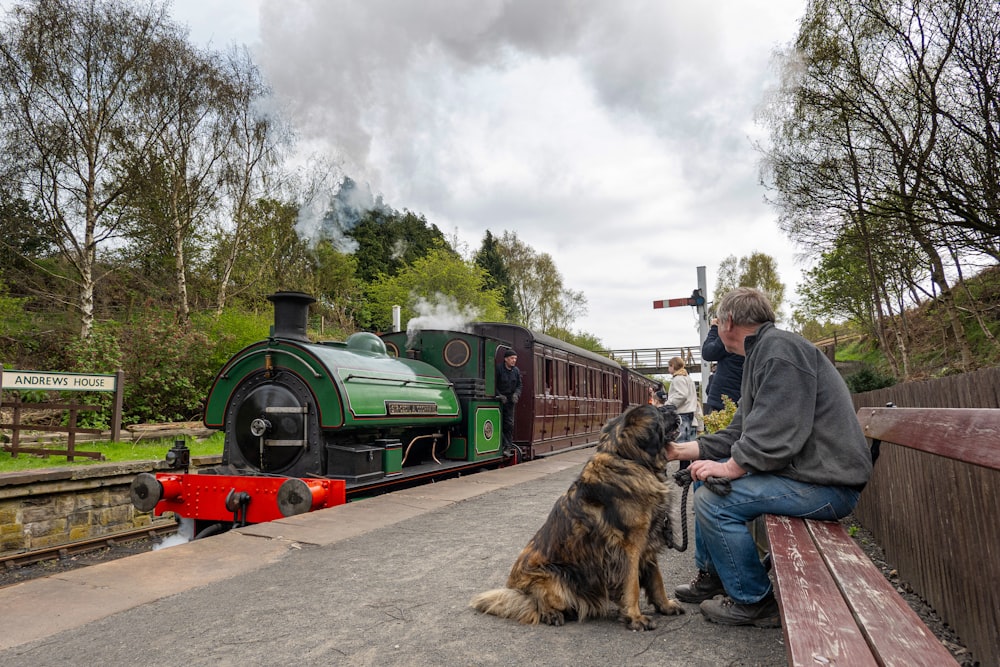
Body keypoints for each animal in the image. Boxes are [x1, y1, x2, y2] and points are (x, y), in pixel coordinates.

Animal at [472, 402, 684, 632]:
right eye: (660, 412)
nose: (674, 407)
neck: (628, 458)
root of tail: (513, 587)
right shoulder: (630, 546)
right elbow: (632, 585)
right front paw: (635, 618)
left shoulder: (649, 540)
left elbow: (656, 580)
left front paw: (666, 605)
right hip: (556, 577)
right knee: (533, 602)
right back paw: (552, 614)